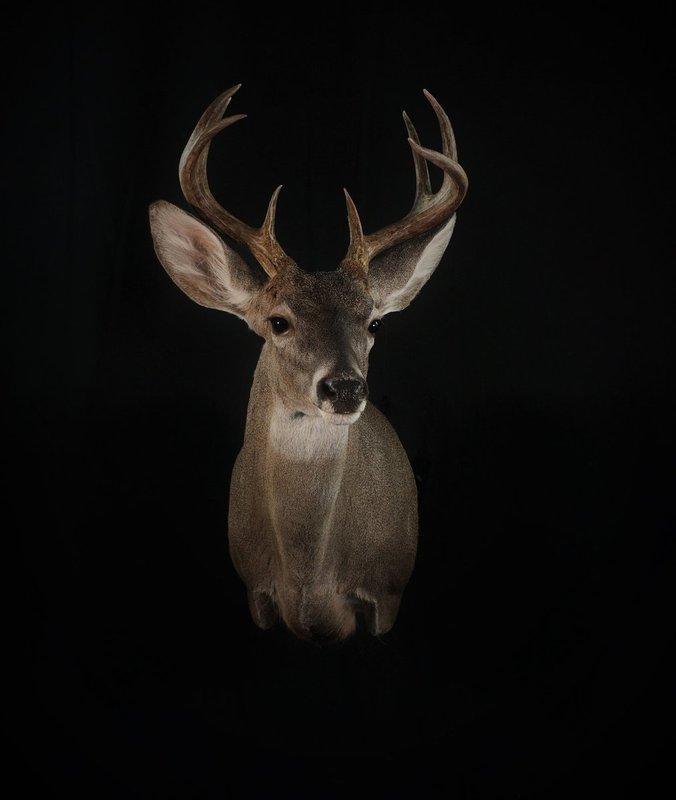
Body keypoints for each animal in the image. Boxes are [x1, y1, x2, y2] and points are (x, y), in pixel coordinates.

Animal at [149, 84, 468, 645]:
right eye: (278, 322)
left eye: (374, 323)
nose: (344, 388)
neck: (306, 576)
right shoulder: (253, 588)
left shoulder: (388, 589)